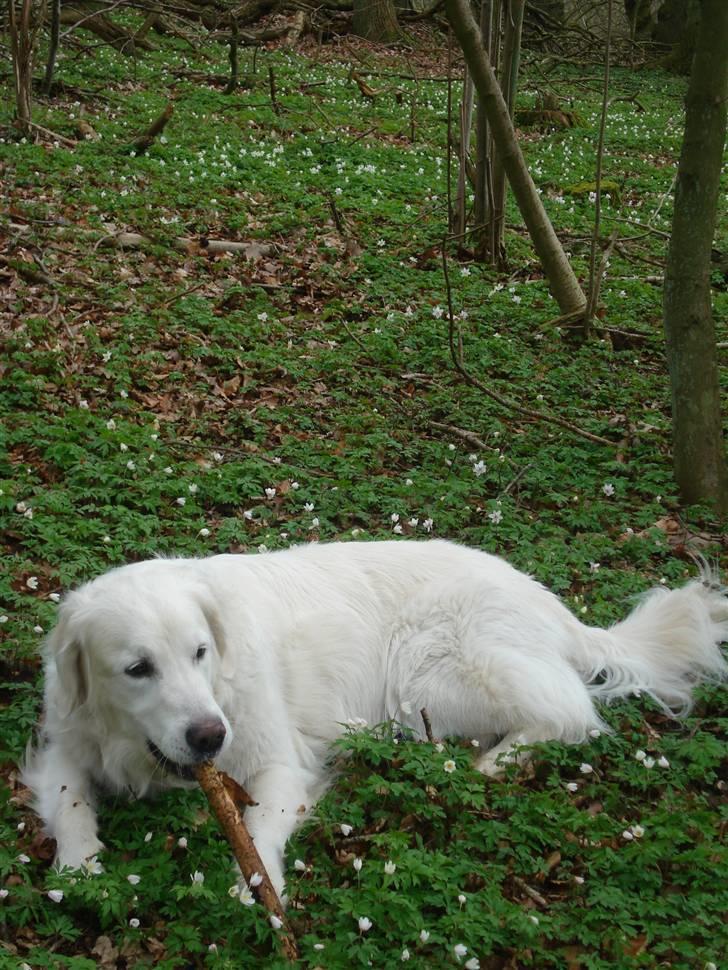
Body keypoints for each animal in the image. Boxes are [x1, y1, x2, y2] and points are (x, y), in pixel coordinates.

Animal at [24, 536, 728, 892]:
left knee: (570, 711)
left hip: (430, 671)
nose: (209, 736)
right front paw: (79, 865)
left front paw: (258, 884)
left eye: (200, 652)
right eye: (137, 668)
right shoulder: (67, 744)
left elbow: (258, 825)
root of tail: (550, 602)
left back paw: (492, 763)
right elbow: (69, 798)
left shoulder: (278, 762)